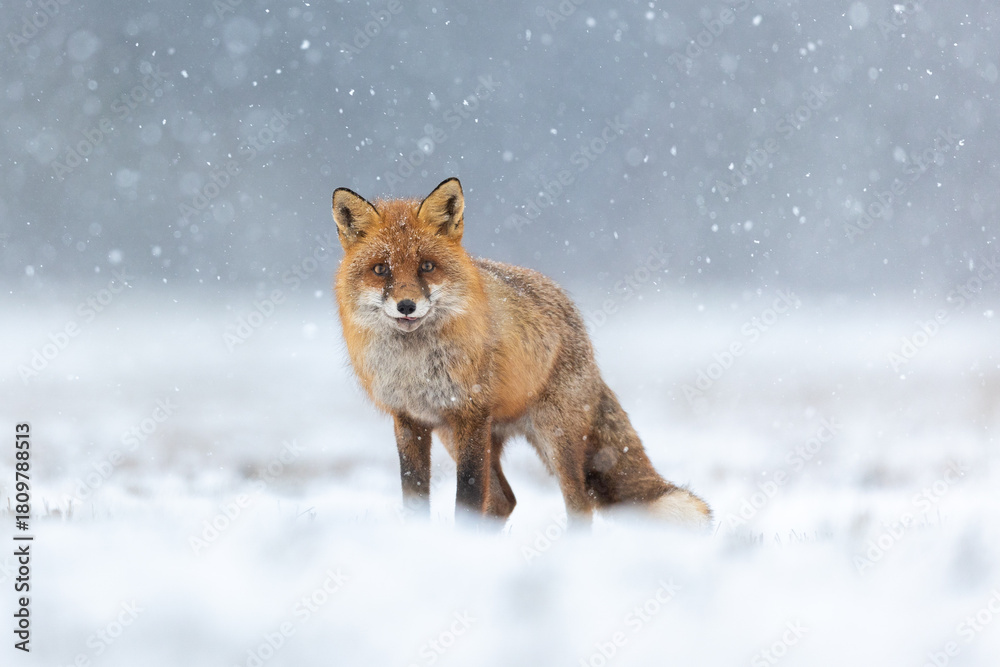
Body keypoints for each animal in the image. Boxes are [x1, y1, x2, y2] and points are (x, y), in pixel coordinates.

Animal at [332, 177, 711, 526]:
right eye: (381, 269)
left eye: (426, 266)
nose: (406, 305)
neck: (414, 365)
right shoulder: (410, 420)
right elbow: (414, 500)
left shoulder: (471, 415)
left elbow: (468, 498)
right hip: (461, 436)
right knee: (505, 501)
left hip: (555, 437)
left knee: (578, 507)